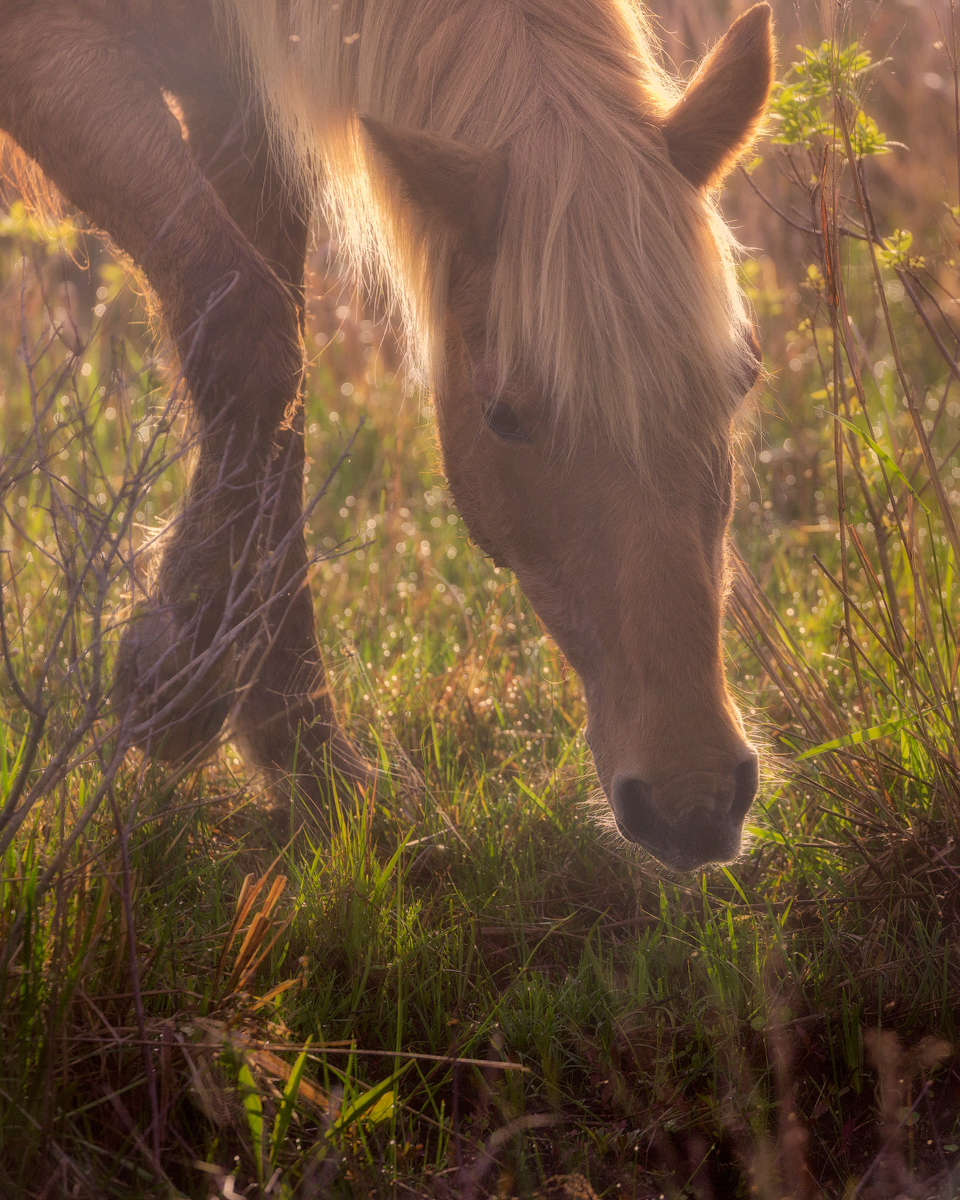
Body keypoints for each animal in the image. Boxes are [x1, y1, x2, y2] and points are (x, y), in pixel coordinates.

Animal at [0, 0, 774, 871]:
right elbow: (247, 337)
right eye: (503, 417)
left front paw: (314, 770)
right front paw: (177, 684)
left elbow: (282, 393)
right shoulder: (45, 53)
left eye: (743, 378)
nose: (696, 802)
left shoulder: (238, 101)